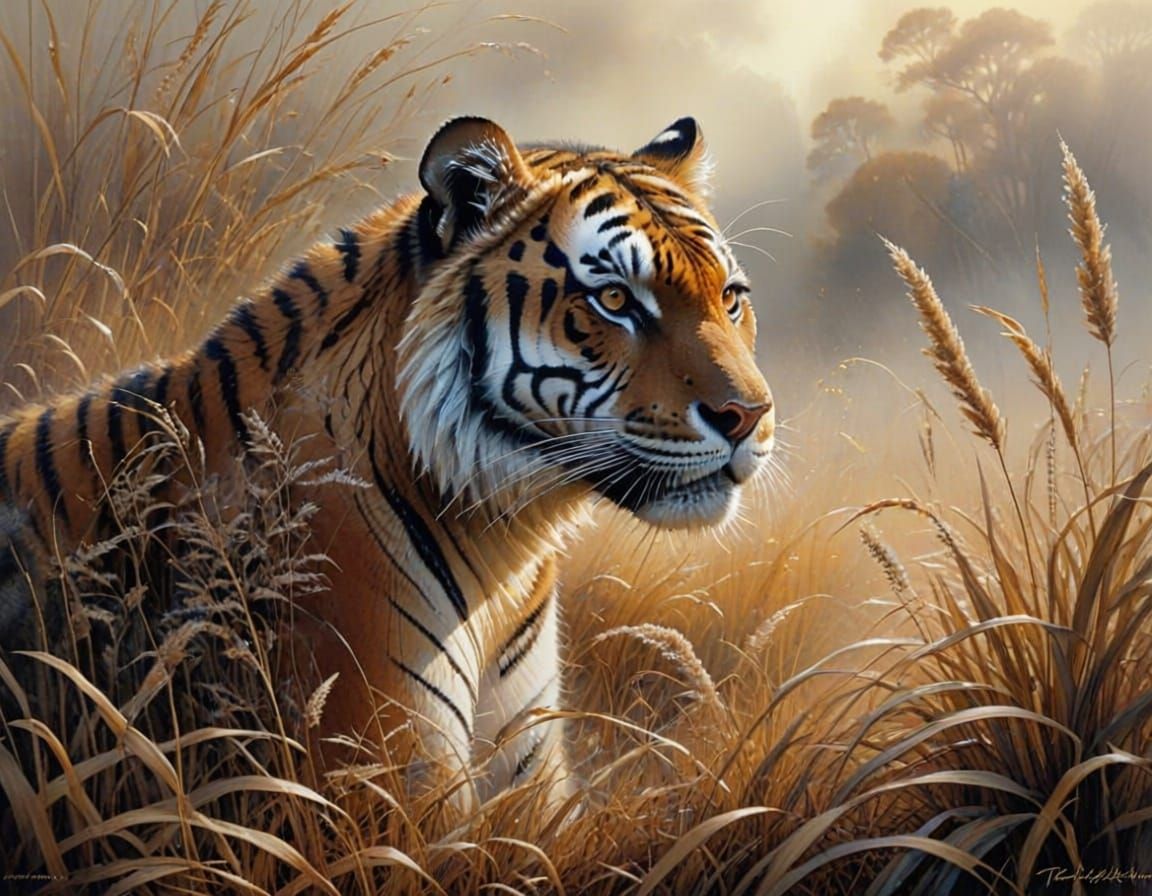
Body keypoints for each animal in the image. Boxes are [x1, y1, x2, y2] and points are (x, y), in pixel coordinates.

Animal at [0, 116, 775, 808]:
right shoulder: (381, 762)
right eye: (614, 299)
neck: (507, 544)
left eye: (731, 298)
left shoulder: (527, 771)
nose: (750, 415)